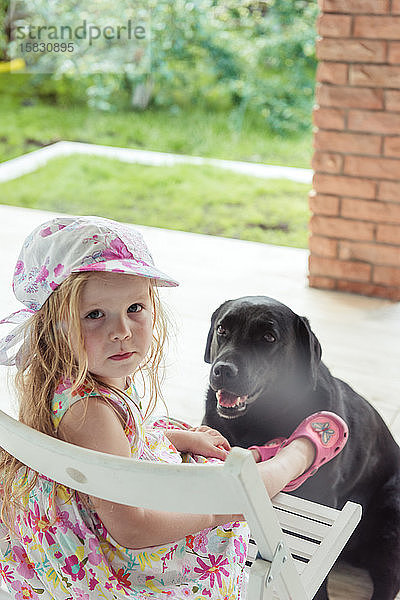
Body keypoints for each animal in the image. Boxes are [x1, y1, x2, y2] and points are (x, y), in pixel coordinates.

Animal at [203, 296, 400, 600]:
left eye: (268, 338)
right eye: (223, 329)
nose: (222, 369)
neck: (257, 421)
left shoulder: (322, 497)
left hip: (391, 517)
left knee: (389, 579)